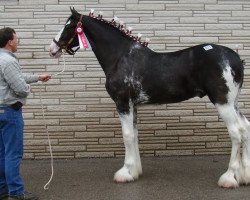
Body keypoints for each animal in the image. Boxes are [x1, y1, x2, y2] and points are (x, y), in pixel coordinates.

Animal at [49, 7, 250, 189]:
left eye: (69, 26)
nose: (52, 49)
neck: (120, 56)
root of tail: (236, 59)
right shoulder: (133, 105)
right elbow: (134, 134)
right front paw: (135, 171)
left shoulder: (123, 103)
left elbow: (127, 135)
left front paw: (125, 173)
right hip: (233, 103)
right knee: (246, 128)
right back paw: (244, 176)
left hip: (223, 103)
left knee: (236, 133)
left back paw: (229, 178)